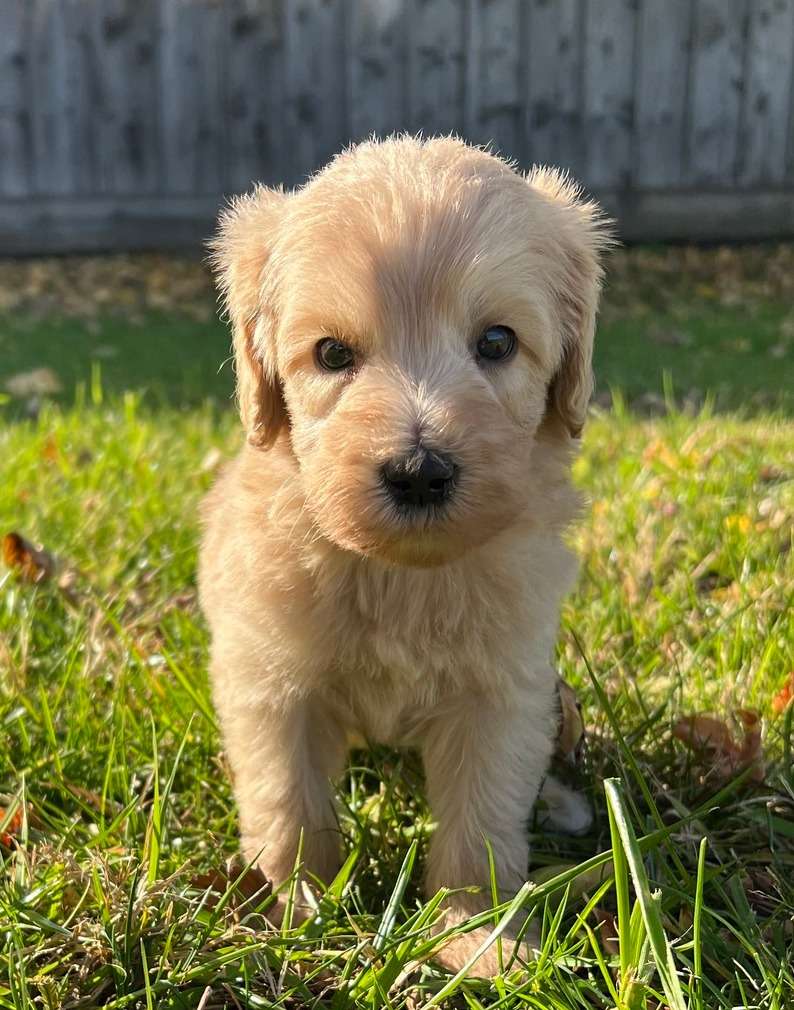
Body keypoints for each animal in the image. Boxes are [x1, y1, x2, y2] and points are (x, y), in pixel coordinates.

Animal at [197, 136, 606, 977]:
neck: (400, 576)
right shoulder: (271, 685)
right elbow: (289, 808)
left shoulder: (501, 695)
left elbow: (480, 823)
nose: (419, 472)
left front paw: (476, 937)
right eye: (331, 354)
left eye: (497, 342)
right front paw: (294, 917)